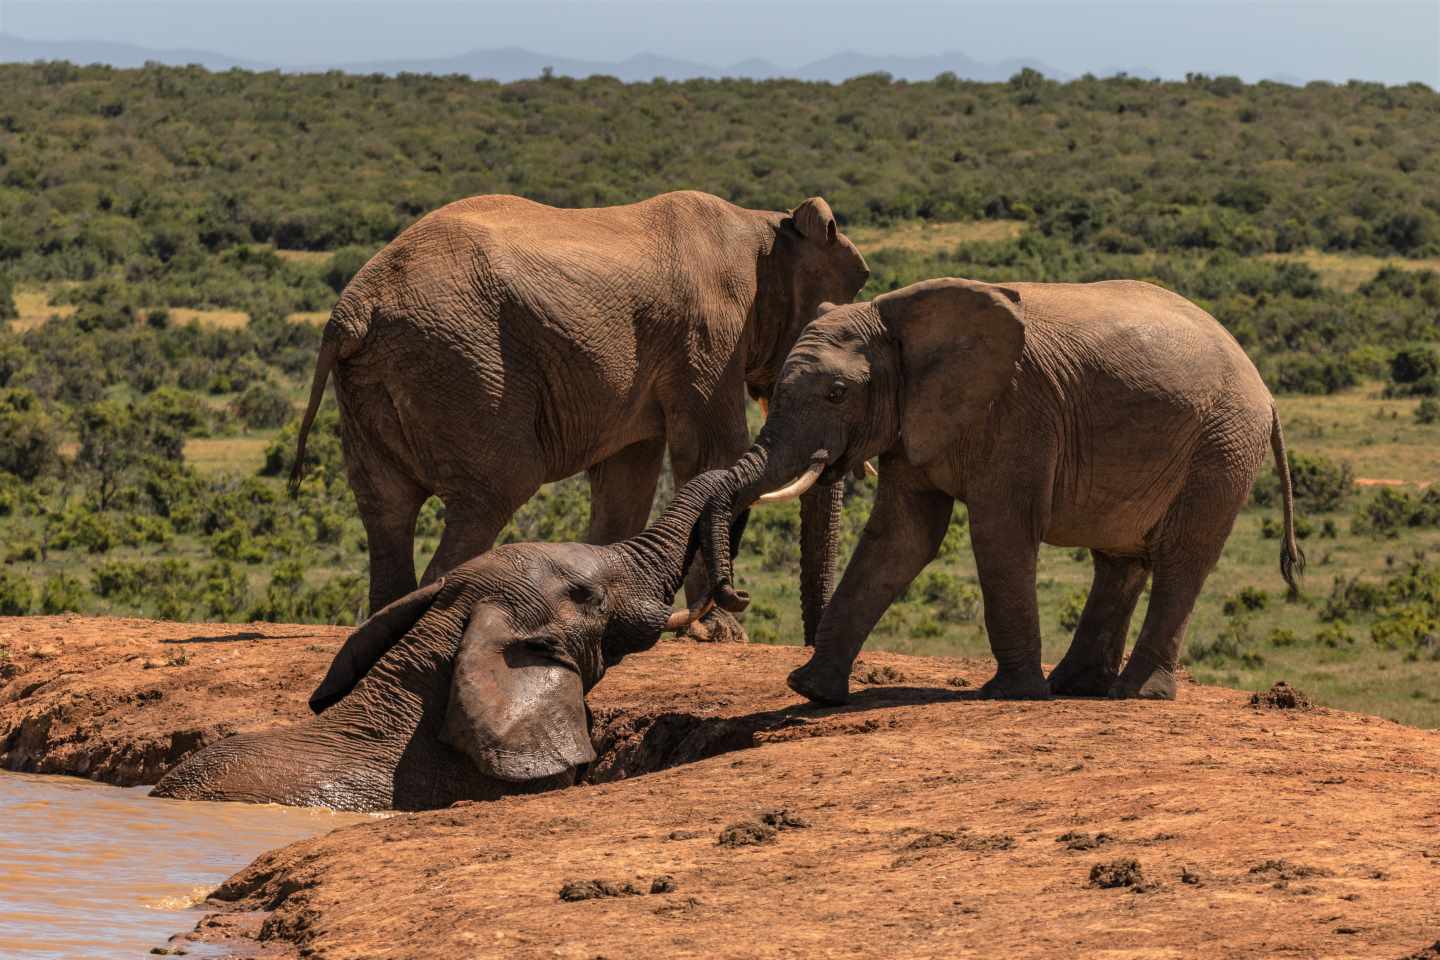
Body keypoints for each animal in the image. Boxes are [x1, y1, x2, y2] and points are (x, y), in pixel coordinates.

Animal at [290, 189, 864, 630]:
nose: (735, 600)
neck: (764, 226)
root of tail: (351, 310)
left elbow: (627, 481)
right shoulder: (709, 334)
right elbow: (712, 456)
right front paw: (721, 634)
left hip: (376, 380)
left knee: (386, 509)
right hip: (459, 364)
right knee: (496, 488)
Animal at [699, 277, 1307, 705]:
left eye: (837, 393)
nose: (736, 594)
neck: (897, 316)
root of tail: (1265, 390)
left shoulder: (1017, 412)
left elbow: (999, 533)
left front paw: (1010, 693)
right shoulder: (918, 418)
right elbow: (903, 537)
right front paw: (809, 691)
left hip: (1221, 446)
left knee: (1181, 559)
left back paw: (1134, 695)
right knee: (1120, 560)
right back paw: (1075, 687)